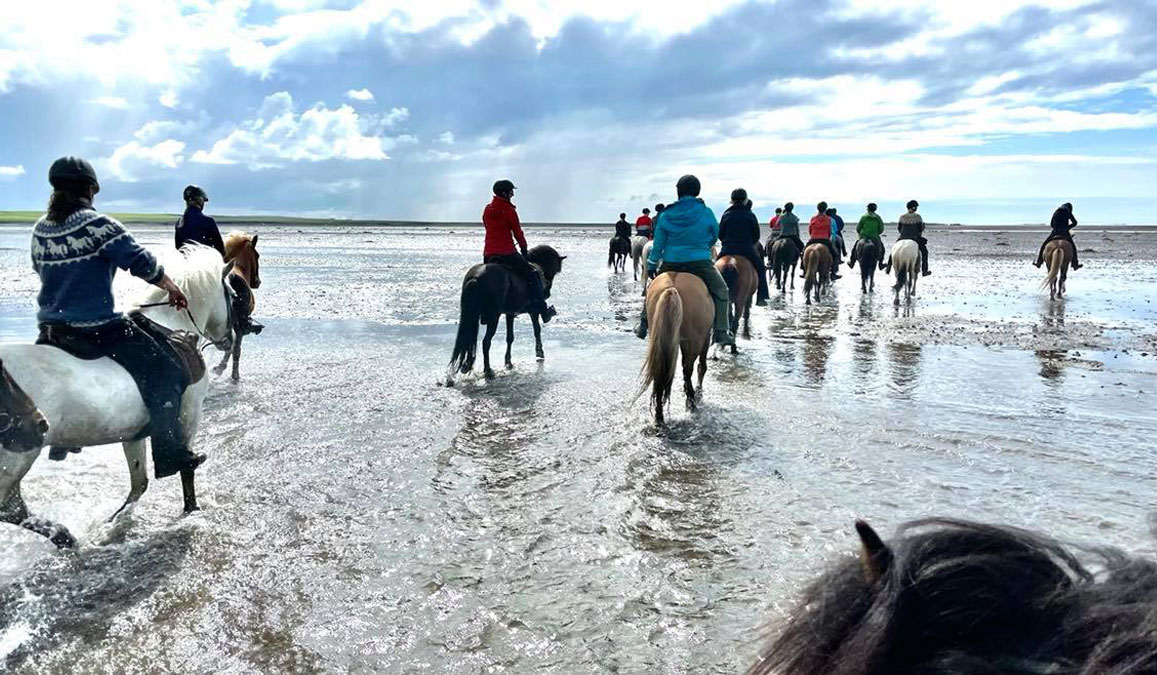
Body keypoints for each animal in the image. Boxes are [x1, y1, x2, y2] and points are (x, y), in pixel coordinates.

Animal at [0, 245, 234, 546]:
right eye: (232, 294)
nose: (228, 340)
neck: (172, 326)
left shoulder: (133, 434)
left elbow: (139, 482)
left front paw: (112, 522)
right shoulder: (189, 415)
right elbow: (186, 468)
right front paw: (191, 509)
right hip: (16, 458)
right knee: (11, 507)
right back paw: (65, 536)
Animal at [446, 245, 564, 382]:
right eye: (555, 270)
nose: (548, 293)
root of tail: (476, 278)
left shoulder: (510, 313)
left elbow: (510, 337)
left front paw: (508, 362)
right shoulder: (533, 310)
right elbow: (537, 330)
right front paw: (540, 353)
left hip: (473, 315)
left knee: (470, 337)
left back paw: (467, 365)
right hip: (493, 317)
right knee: (485, 342)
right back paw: (488, 371)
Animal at [638, 272, 708, 426]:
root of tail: (672, 288)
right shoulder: (706, 336)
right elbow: (701, 365)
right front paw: (697, 391)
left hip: (659, 338)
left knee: (660, 372)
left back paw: (659, 416)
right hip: (694, 340)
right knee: (688, 369)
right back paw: (691, 403)